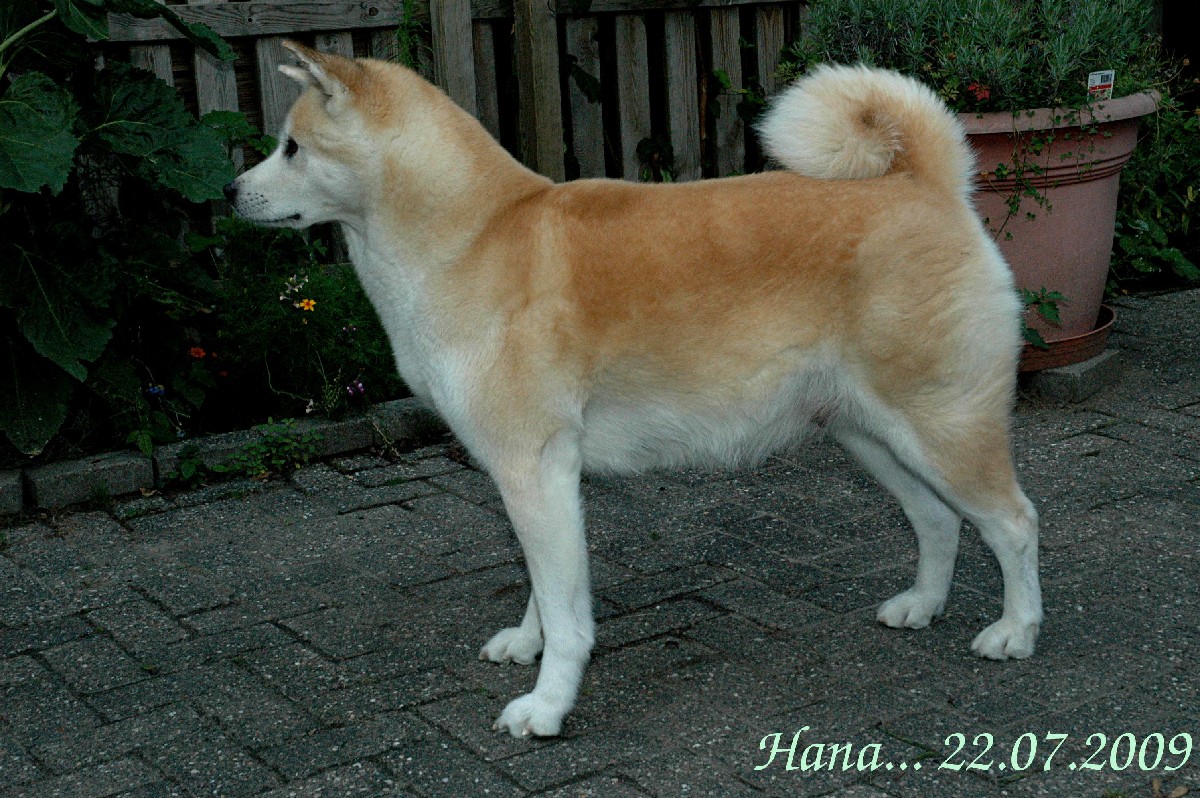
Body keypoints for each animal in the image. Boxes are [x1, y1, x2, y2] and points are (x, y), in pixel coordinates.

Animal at [225, 43, 1043, 738]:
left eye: (292, 147)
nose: (231, 192)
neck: (473, 236)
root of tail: (925, 182)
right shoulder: (536, 480)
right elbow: (541, 589)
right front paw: (528, 647)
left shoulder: (534, 469)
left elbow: (568, 615)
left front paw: (547, 707)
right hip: (871, 433)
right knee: (937, 520)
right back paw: (922, 607)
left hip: (940, 428)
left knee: (1014, 523)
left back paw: (1016, 631)